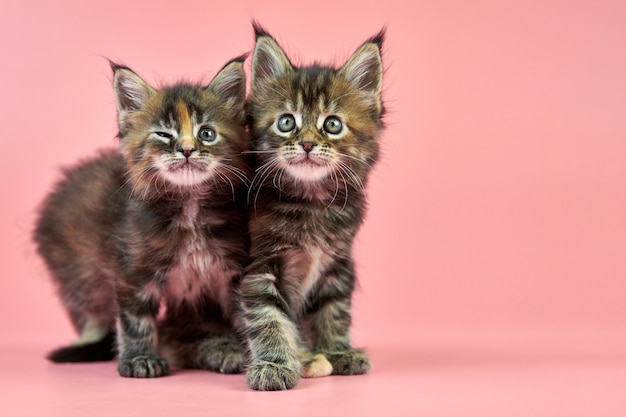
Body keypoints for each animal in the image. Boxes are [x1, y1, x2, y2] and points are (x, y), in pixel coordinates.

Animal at [33, 56, 249, 376]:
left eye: (206, 133)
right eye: (163, 134)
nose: (187, 150)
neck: (189, 205)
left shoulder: (231, 270)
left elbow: (246, 314)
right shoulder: (131, 269)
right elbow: (136, 320)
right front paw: (139, 358)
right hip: (77, 271)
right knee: (90, 311)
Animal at [238, 26, 386, 390]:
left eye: (332, 124)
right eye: (286, 123)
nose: (306, 144)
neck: (312, 203)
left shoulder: (338, 263)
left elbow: (333, 311)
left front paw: (337, 350)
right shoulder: (259, 267)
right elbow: (268, 319)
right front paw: (275, 364)